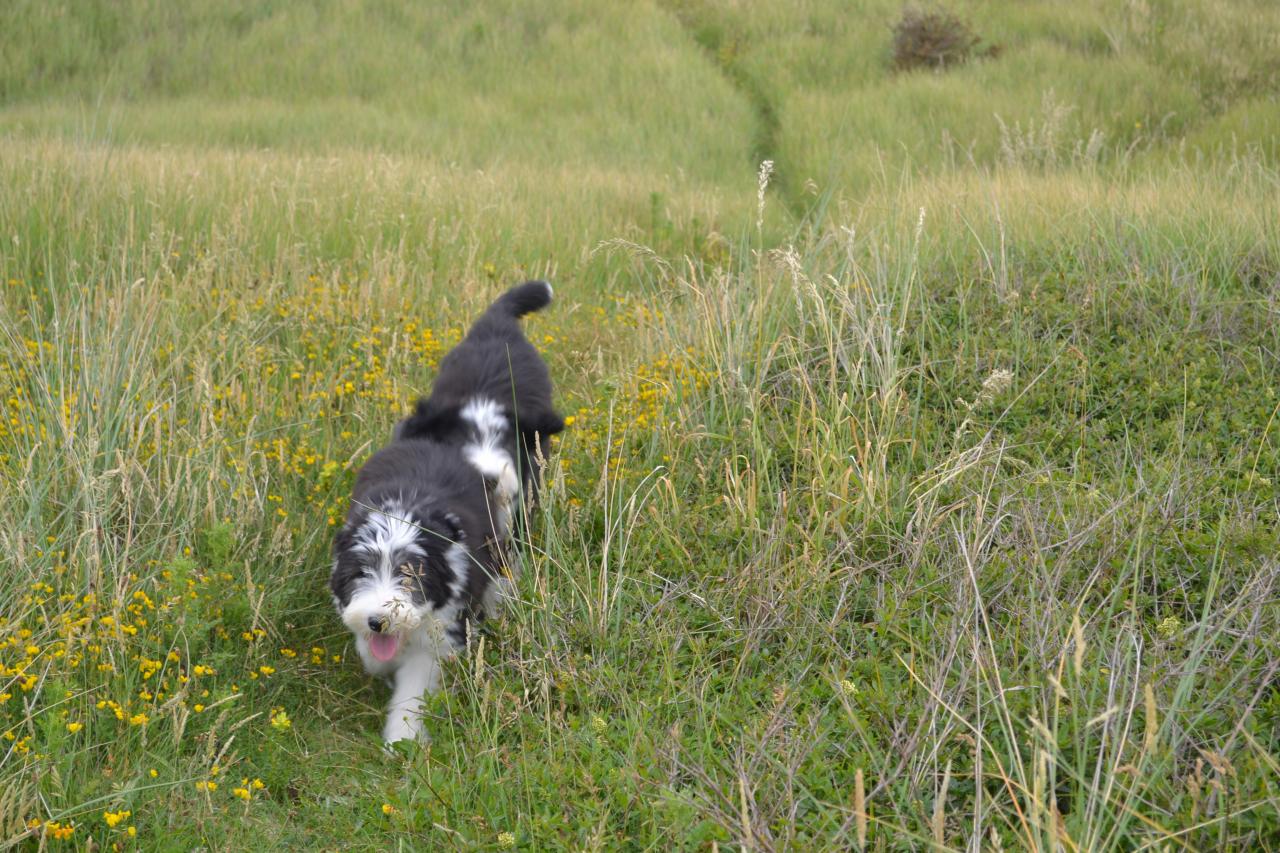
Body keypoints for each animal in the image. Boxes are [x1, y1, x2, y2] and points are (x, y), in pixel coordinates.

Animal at [330, 281, 560, 742]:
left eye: (412, 576)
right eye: (361, 572)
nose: (378, 620)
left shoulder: (444, 626)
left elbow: (415, 684)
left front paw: (402, 740)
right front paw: (376, 656)